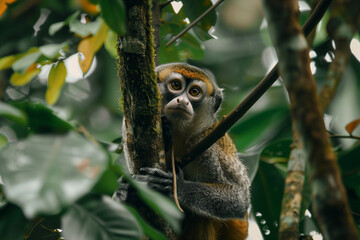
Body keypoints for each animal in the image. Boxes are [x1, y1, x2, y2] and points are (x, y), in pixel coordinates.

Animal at [114, 62, 250, 239]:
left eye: (194, 92)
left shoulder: (208, 147)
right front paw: (124, 192)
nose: (182, 101)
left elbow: (239, 199)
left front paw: (175, 186)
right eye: (176, 86)